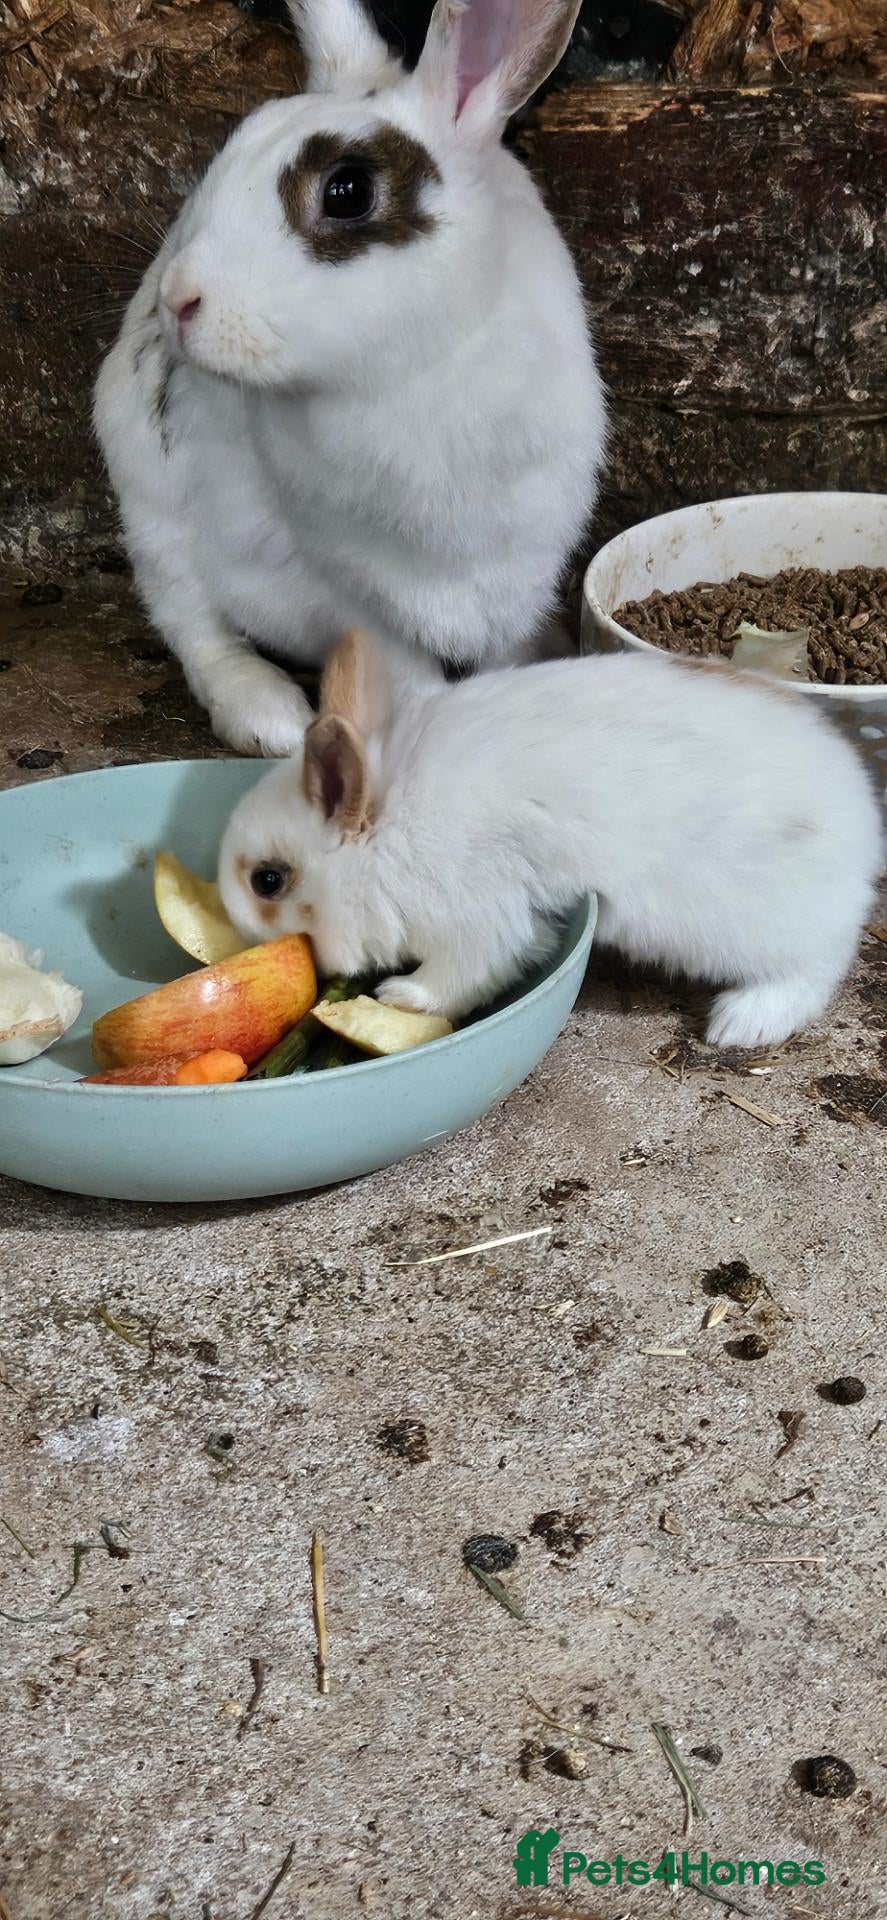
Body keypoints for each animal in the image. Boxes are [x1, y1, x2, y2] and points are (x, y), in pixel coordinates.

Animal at [93, 0, 606, 757]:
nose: (179, 301)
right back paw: (267, 716)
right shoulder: (353, 594)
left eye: (347, 192)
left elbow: (504, 656)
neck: (418, 371)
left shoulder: (522, 564)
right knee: (193, 625)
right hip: (155, 517)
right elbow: (405, 675)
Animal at [218, 629, 883, 1048]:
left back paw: (741, 1024)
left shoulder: (475, 917)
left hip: (770, 930)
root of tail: (860, 822)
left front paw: (400, 996)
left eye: (268, 881)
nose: (237, 934)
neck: (387, 827)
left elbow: (464, 973)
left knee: (815, 970)